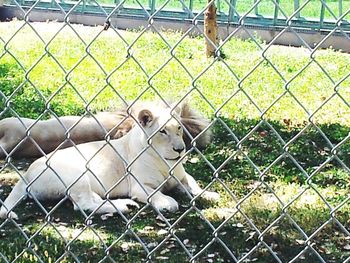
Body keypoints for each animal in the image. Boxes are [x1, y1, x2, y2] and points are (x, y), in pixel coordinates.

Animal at [0, 104, 219, 220]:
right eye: (162, 131)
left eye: (179, 128)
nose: (180, 149)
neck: (166, 163)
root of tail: (27, 173)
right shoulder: (139, 186)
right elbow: (155, 193)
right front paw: (168, 203)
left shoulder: (182, 177)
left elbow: (193, 184)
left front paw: (209, 194)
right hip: (78, 175)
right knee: (83, 205)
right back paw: (122, 207)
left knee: (92, 200)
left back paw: (123, 204)